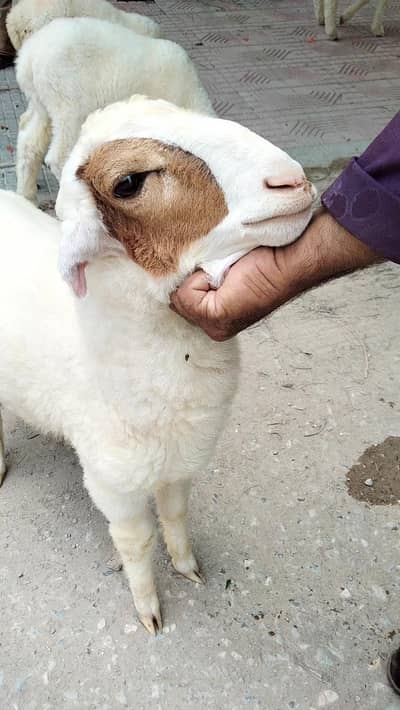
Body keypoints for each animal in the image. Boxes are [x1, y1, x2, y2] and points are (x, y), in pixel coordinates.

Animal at [0, 95, 316, 634]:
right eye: (128, 182)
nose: (291, 180)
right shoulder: (114, 485)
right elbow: (137, 541)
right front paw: (148, 607)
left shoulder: (182, 461)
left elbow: (176, 515)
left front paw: (187, 566)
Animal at [14, 17, 213, 203]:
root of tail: (29, 56)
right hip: (65, 92)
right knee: (60, 148)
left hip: (39, 97)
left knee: (30, 139)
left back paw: (27, 196)